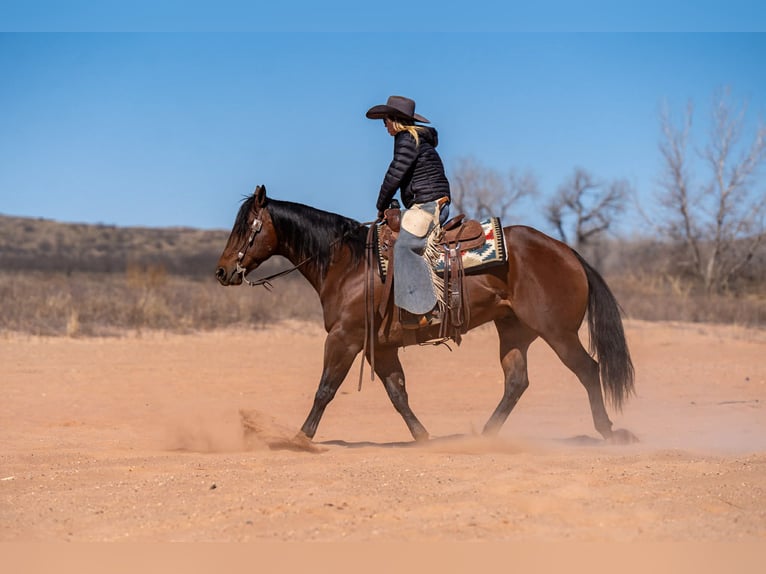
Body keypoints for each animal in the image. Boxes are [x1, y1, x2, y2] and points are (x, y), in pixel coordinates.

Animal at [215, 185, 637, 444]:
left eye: (246, 228)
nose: (222, 271)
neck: (349, 264)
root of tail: (568, 252)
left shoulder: (344, 339)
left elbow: (325, 390)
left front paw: (300, 439)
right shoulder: (380, 347)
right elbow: (398, 393)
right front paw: (424, 437)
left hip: (557, 332)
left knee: (588, 370)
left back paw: (608, 431)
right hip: (514, 330)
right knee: (517, 381)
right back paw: (484, 435)